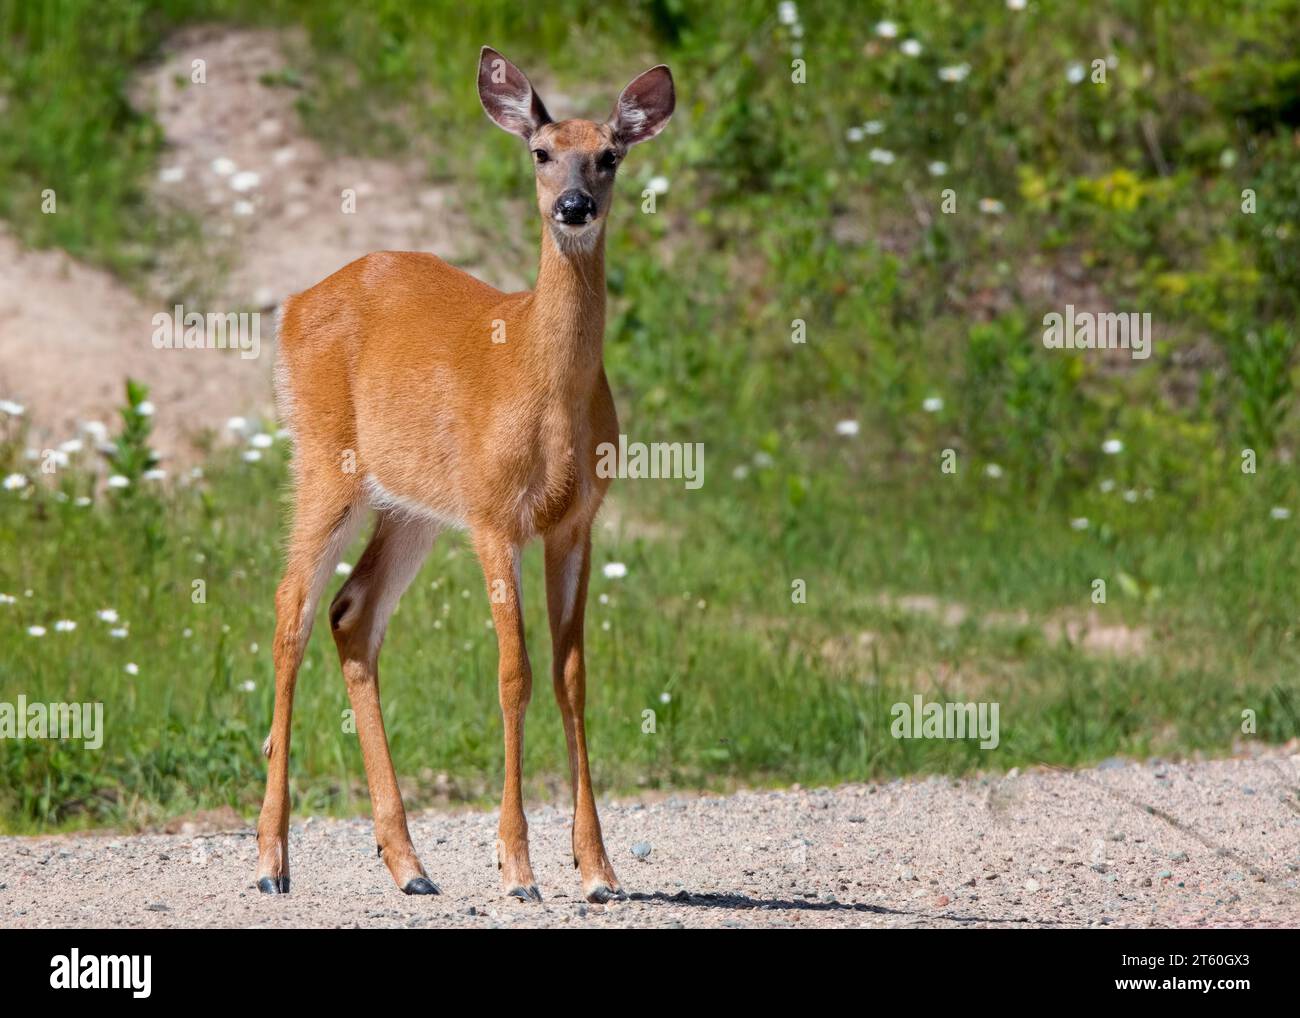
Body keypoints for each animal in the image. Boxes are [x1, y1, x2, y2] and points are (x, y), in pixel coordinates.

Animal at [256, 49, 681, 910]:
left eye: (610, 156)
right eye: (541, 153)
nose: (576, 207)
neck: (542, 388)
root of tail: (292, 305)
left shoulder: (576, 522)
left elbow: (572, 676)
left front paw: (598, 870)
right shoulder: (494, 517)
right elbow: (514, 674)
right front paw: (517, 868)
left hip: (411, 506)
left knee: (351, 614)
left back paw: (409, 865)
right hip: (324, 461)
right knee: (291, 609)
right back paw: (272, 860)